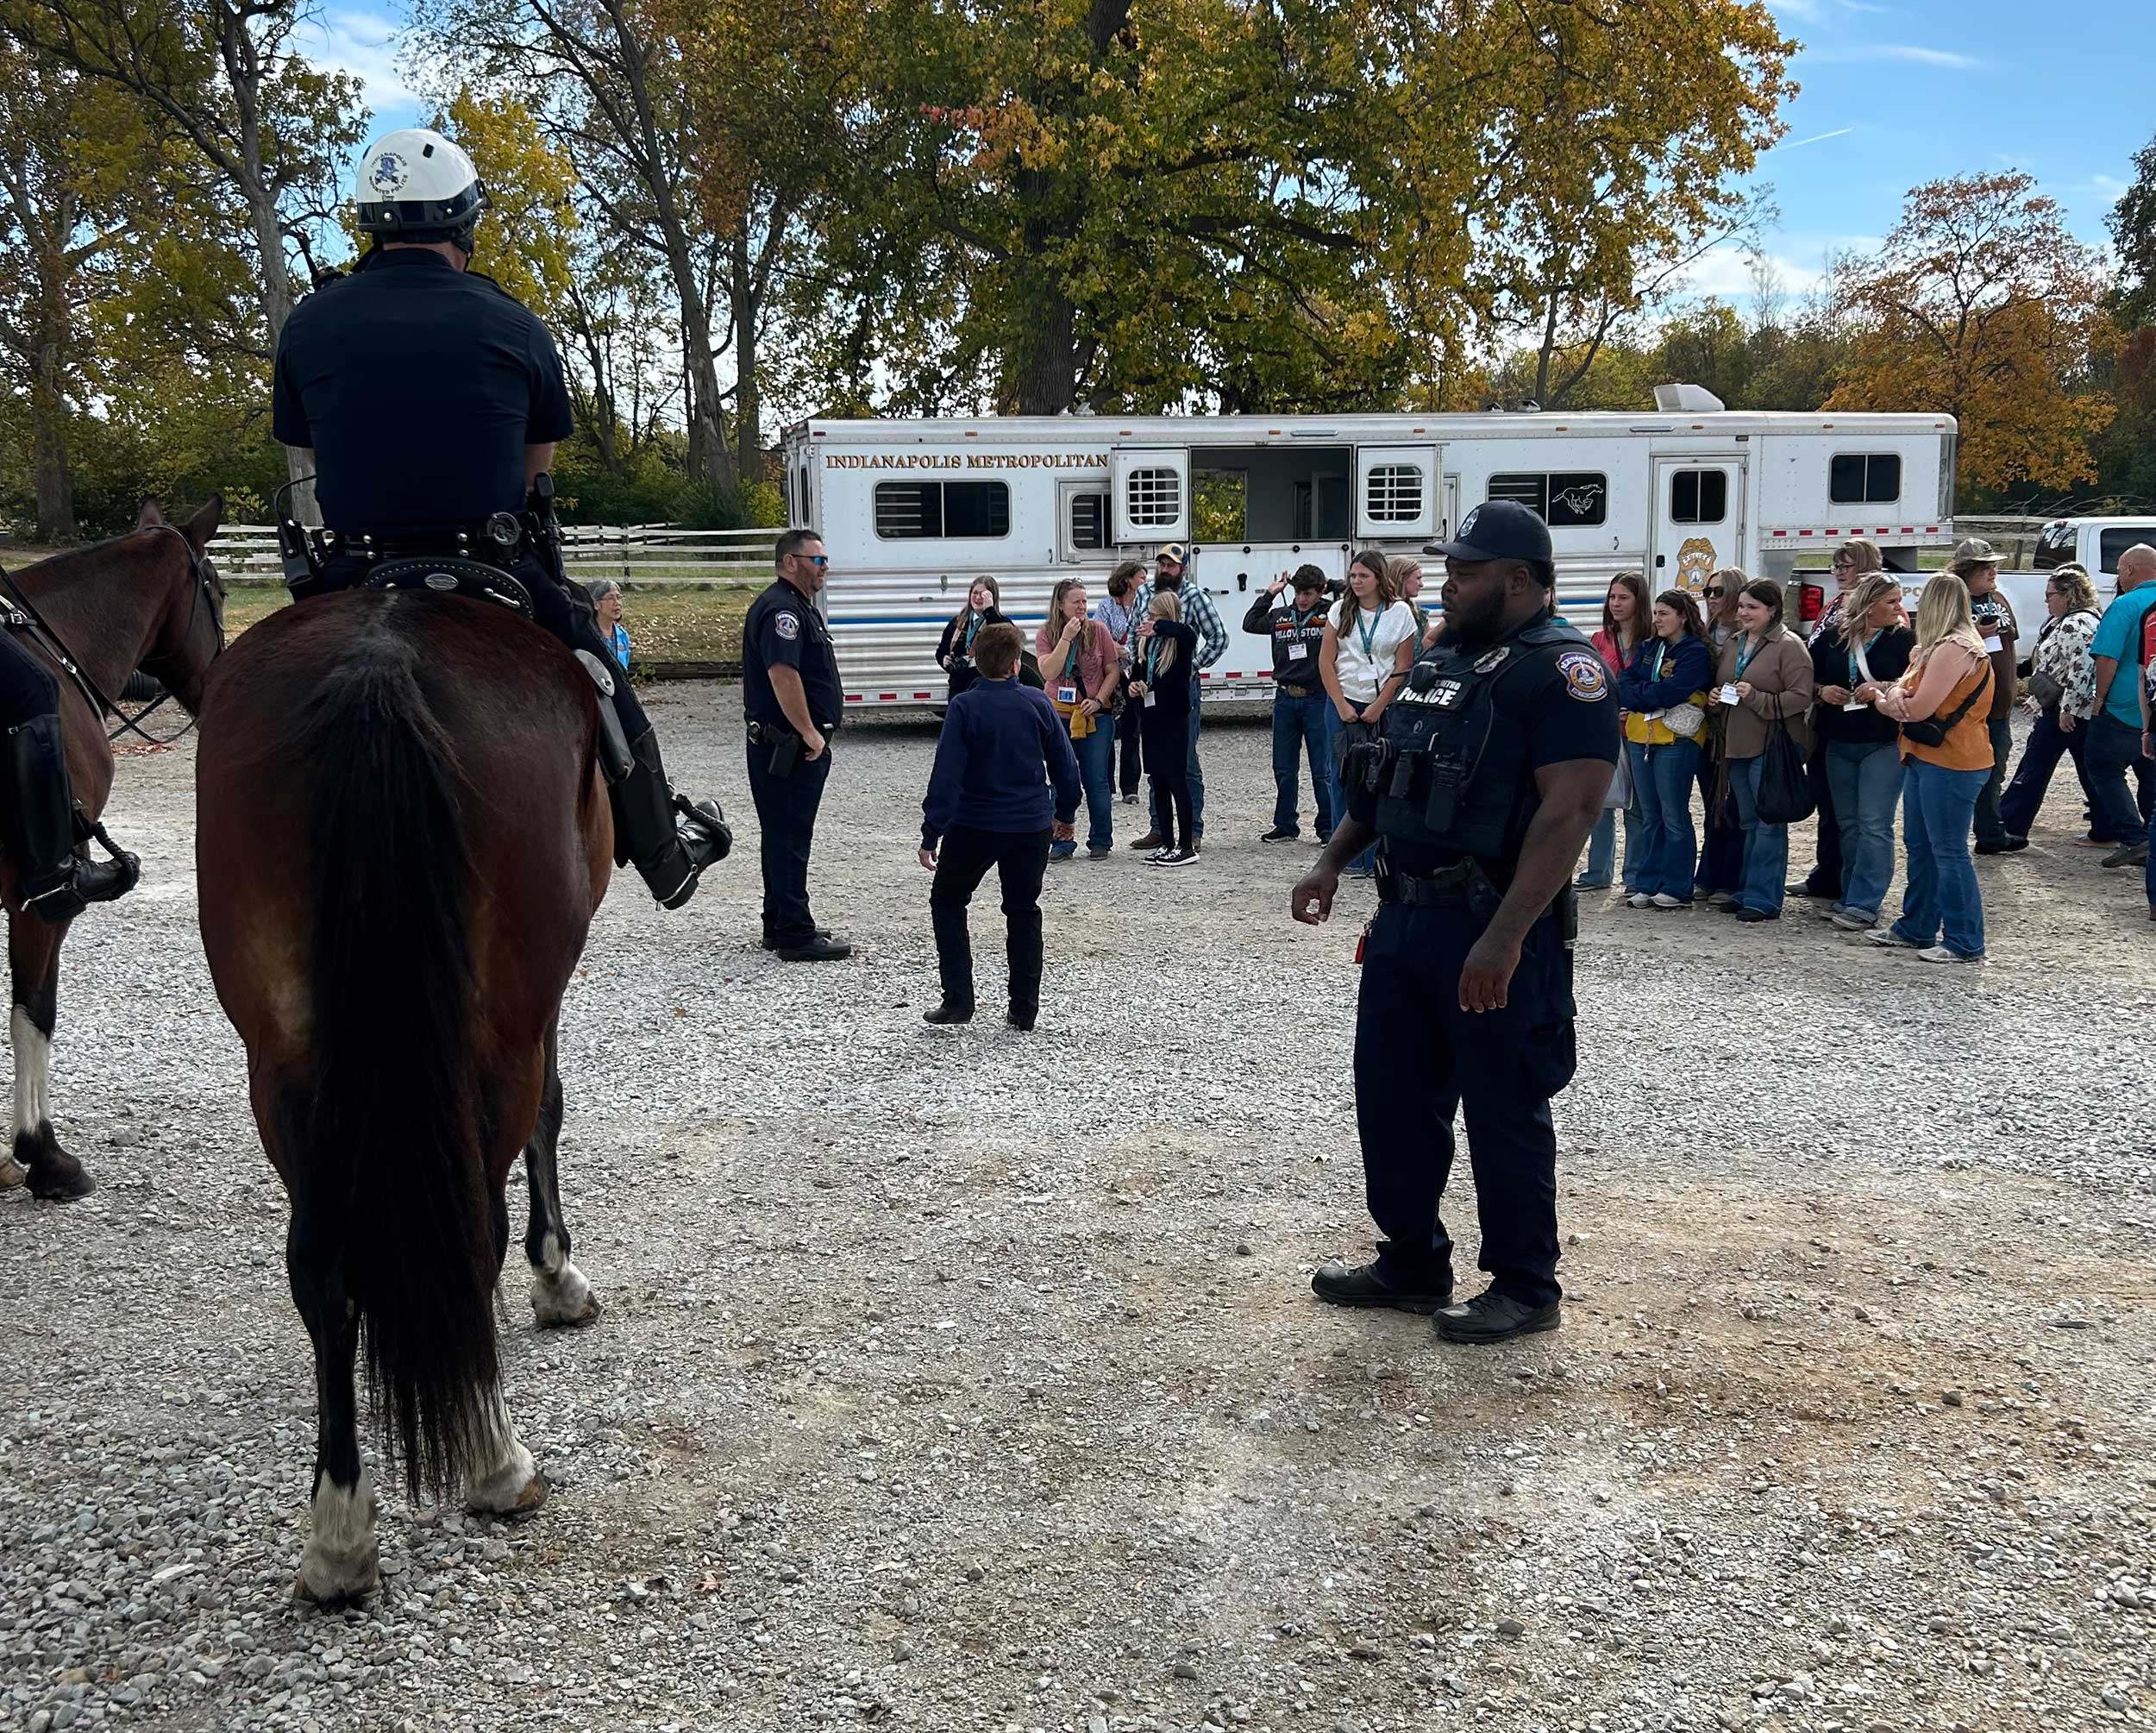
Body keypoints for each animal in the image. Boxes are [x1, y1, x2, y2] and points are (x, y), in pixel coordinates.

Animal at [192, 590, 608, 1604]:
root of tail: (378, 656)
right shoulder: (532, 1021)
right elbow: (551, 1114)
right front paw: (557, 1273)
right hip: (496, 1032)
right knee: (471, 1229)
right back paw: (496, 1458)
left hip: (283, 1065)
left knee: (321, 1267)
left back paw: (339, 1524)